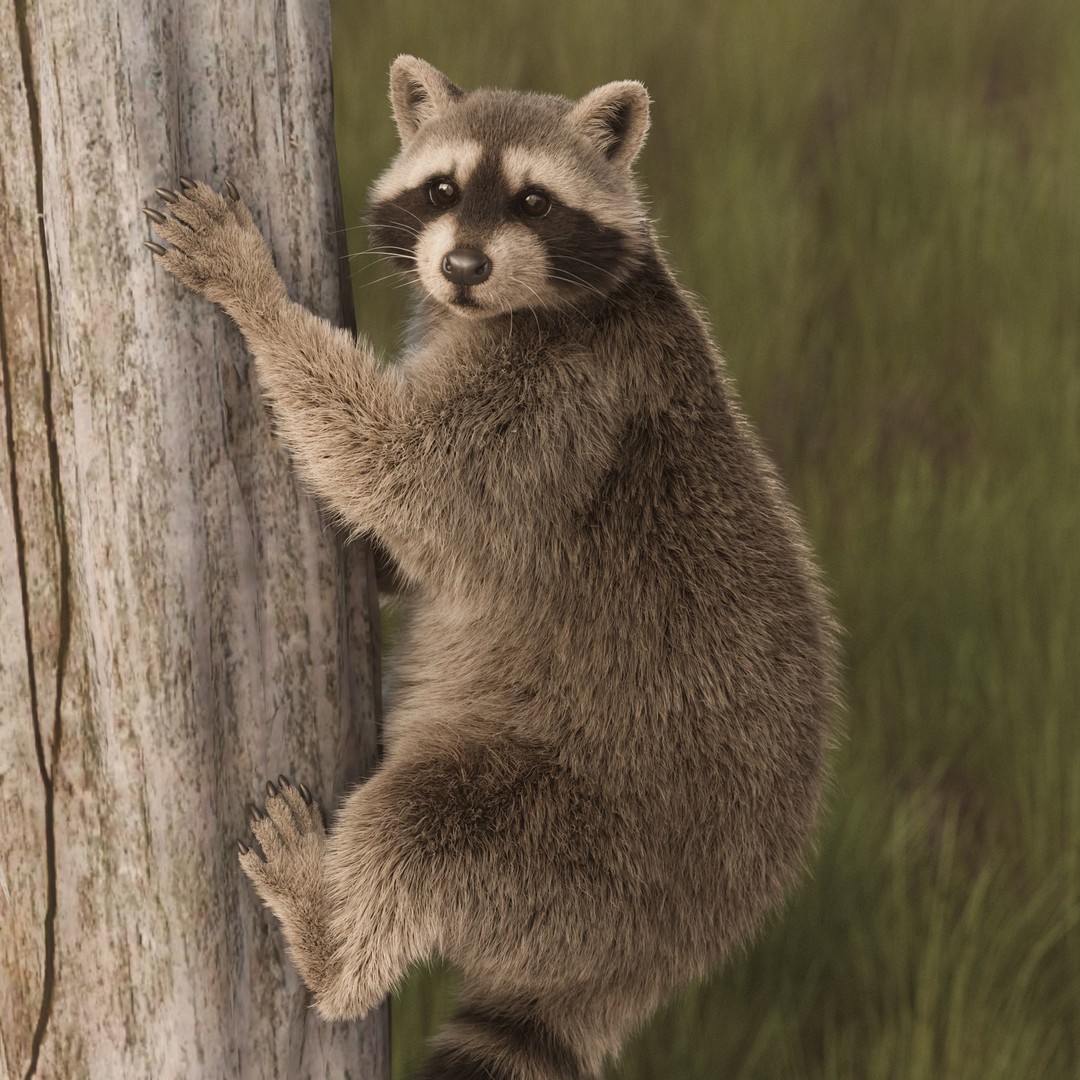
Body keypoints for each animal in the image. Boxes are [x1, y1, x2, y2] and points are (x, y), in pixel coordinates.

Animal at [144, 56, 838, 1080]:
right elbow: (409, 535)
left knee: (422, 827)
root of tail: (664, 951)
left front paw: (256, 294)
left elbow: (397, 471)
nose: (463, 267)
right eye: (442, 189)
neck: (504, 308)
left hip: (577, 844)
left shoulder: (558, 403)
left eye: (533, 202)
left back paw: (332, 944)